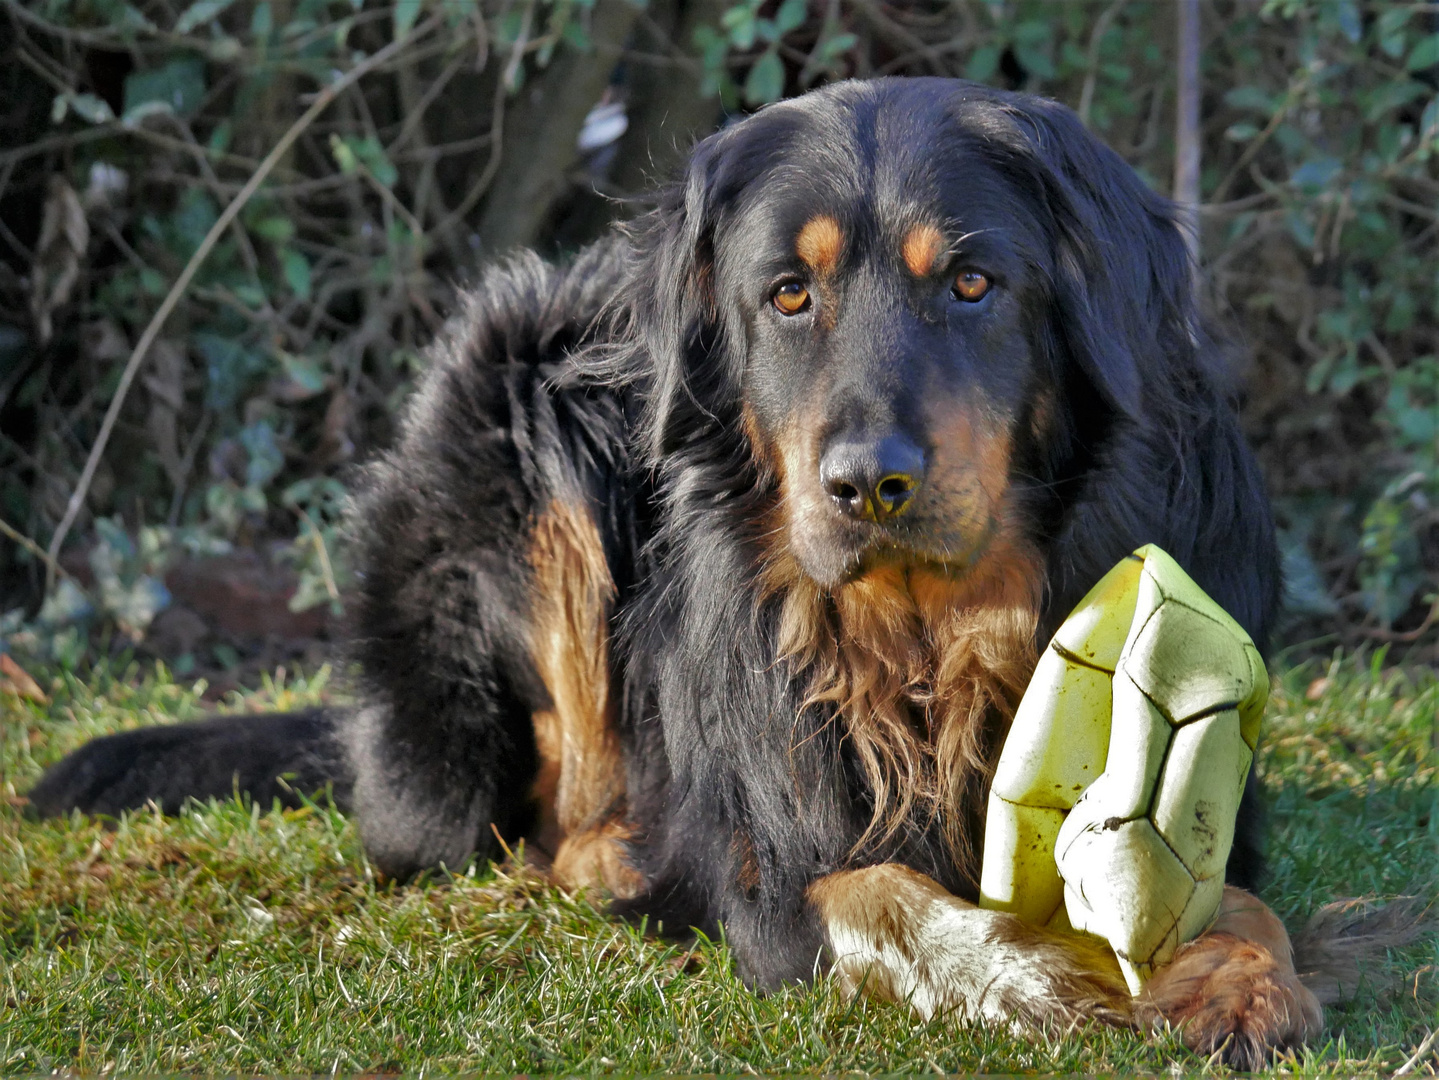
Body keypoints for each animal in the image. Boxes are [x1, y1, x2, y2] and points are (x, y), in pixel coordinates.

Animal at [30, 80, 1323, 1069]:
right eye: (787, 295)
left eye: (971, 284)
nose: (866, 484)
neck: (918, 635)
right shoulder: (762, 866)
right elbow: (871, 891)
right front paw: (1028, 977)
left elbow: (1232, 893)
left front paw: (1237, 980)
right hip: (521, 395)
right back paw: (608, 853)